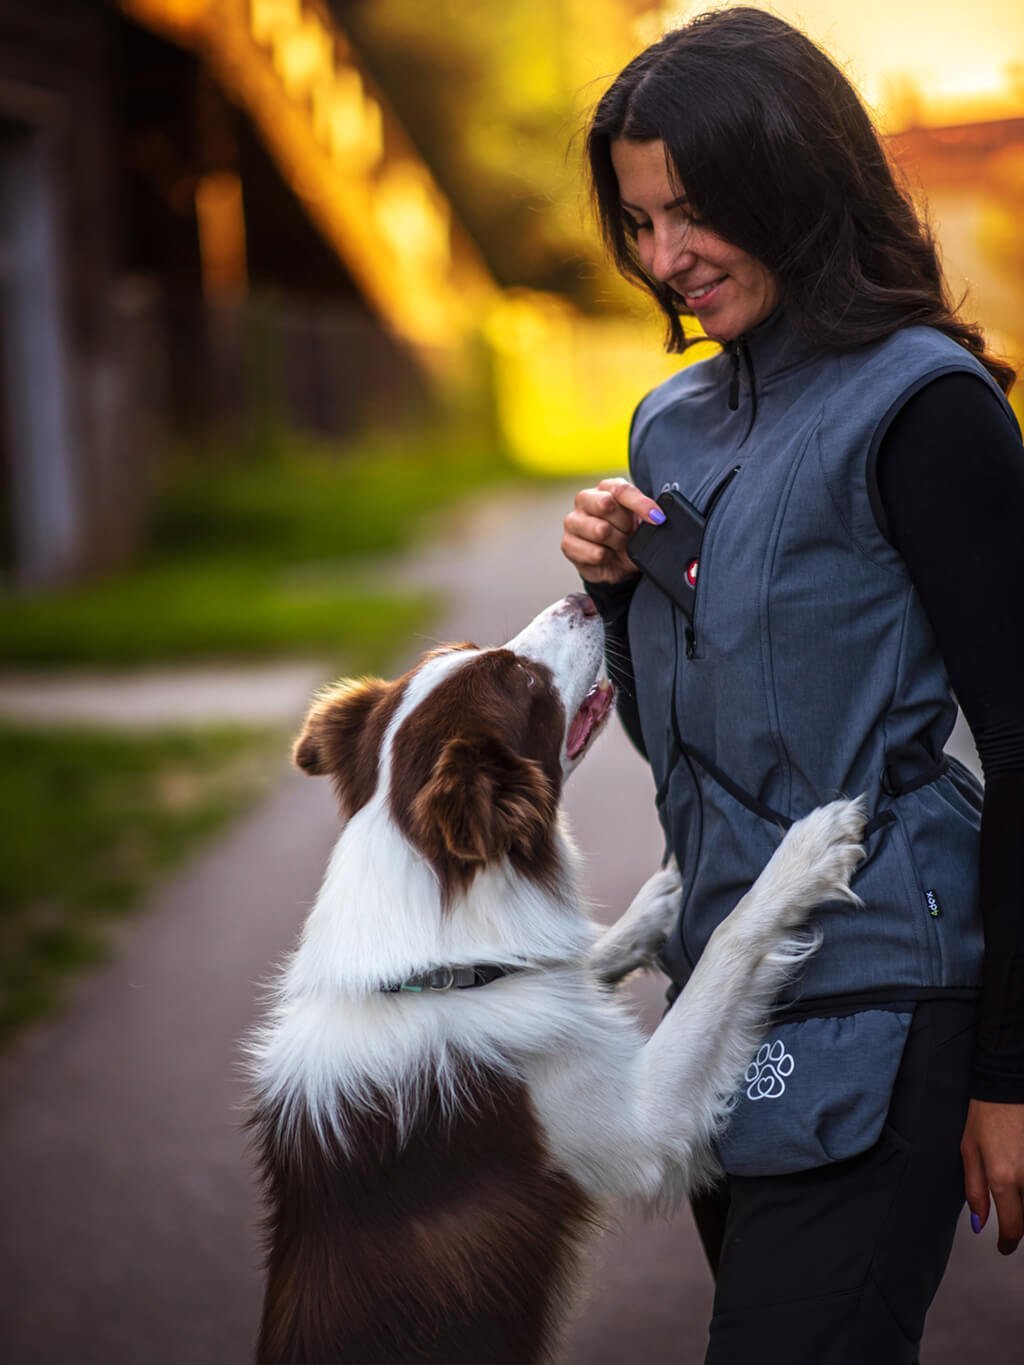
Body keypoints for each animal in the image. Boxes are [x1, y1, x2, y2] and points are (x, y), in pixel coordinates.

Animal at [248, 595, 868, 1365]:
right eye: (520, 678)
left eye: (471, 650)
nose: (583, 598)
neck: (435, 972)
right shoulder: (638, 1127)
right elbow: (728, 941)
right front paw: (803, 857)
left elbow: (573, 961)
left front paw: (657, 904)